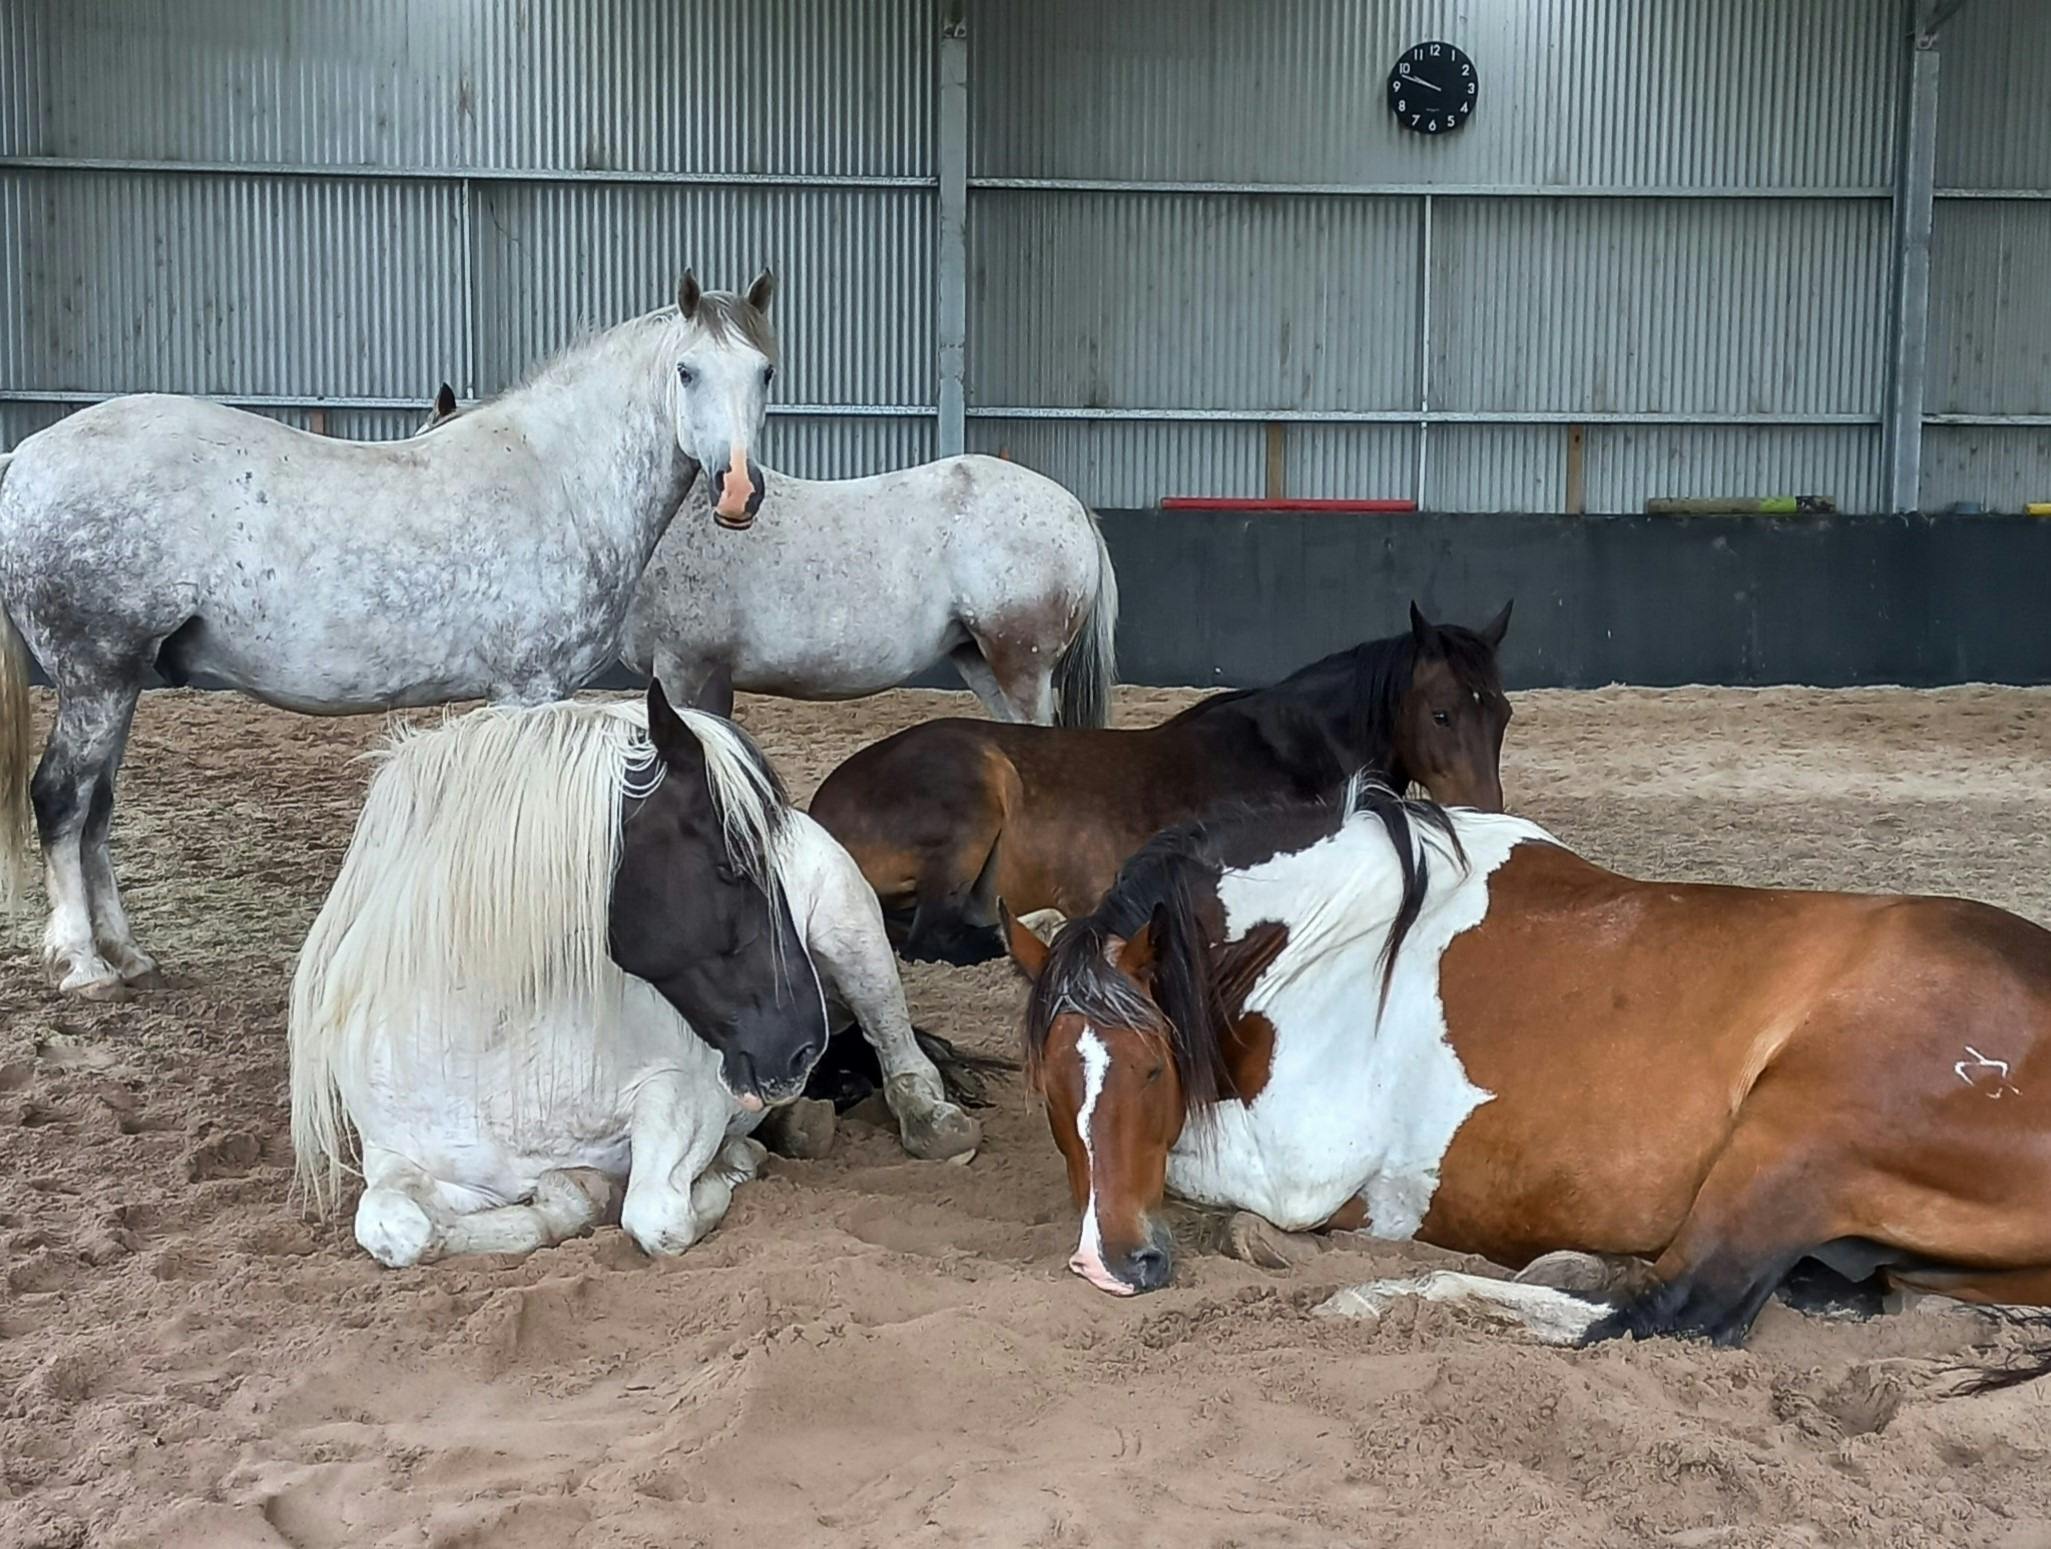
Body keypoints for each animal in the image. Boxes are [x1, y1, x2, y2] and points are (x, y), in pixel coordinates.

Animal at [0, 271, 779, 1000]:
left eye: (764, 370)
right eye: (687, 370)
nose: (739, 490)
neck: (557, 477)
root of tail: (23, 461)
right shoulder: (531, 688)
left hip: (120, 683)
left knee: (96, 808)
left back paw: (128, 955)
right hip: (96, 678)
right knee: (62, 798)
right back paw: (83, 964)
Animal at [290, 681, 980, 1268]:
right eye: (732, 866)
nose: (802, 1043)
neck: (490, 1044)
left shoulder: (685, 1096)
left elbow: (655, 1216)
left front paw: (732, 1162)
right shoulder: (399, 1159)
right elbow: (396, 1227)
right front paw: (563, 1202)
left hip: (854, 938)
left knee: (899, 1051)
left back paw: (930, 1124)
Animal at [809, 602, 1512, 967]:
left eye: (1502, 713)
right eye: (1441, 714)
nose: (1486, 813)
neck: (1291, 755)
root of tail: (820, 807)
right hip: (973, 801)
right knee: (932, 936)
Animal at [1000, 776, 2051, 1384]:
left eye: (1152, 1063)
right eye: (1047, 1086)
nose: (1109, 1262)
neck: (1336, 934)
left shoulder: (1297, 1171)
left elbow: (1206, 1174)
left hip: (1791, 1142)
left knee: (1666, 1312)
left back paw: (1387, 1297)